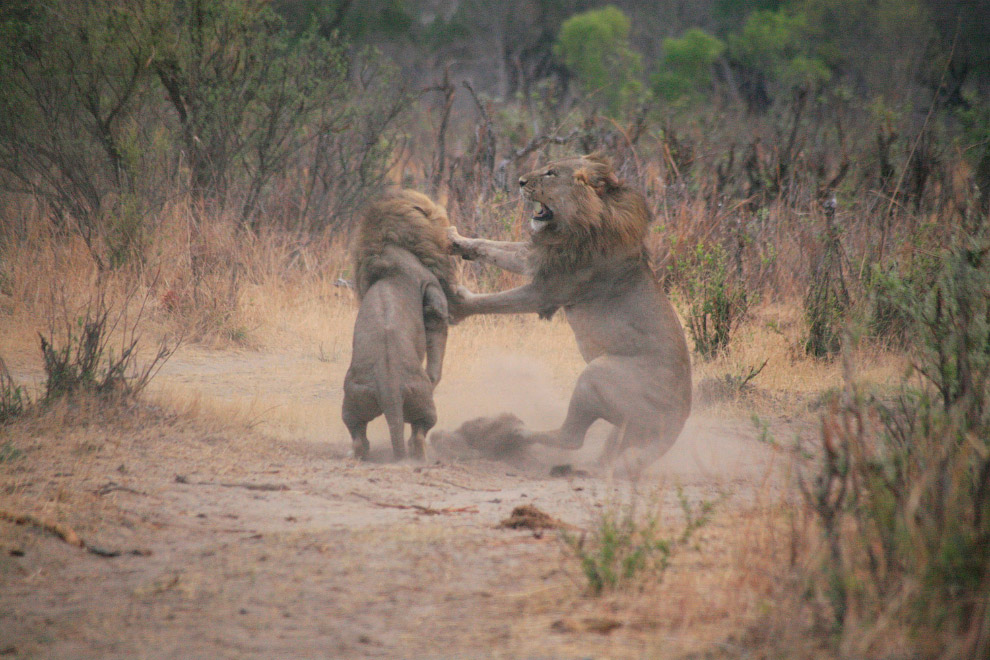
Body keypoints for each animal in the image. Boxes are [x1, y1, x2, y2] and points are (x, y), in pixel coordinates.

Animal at [340, 188, 452, 462]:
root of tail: (387, 382)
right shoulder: (432, 291)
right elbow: (438, 343)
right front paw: (434, 376)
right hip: (424, 403)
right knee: (419, 433)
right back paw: (419, 453)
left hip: (352, 401)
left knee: (358, 436)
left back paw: (356, 454)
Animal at [438, 153, 692, 474]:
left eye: (551, 173)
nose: (520, 181)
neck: (577, 227)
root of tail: (678, 423)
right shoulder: (538, 258)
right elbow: (492, 247)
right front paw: (454, 239)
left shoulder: (547, 290)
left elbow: (492, 302)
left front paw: (455, 303)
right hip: (621, 424)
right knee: (606, 449)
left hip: (598, 372)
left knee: (570, 438)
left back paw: (505, 431)